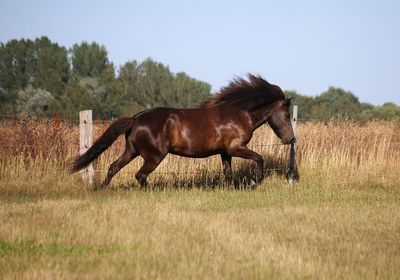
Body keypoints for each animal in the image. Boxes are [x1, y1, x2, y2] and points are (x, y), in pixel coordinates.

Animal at [70, 74, 296, 188]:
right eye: (286, 114)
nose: (290, 139)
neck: (240, 114)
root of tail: (136, 118)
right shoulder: (236, 148)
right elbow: (259, 158)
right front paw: (256, 181)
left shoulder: (225, 152)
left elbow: (228, 174)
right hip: (154, 156)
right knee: (140, 175)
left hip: (131, 151)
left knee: (113, 168)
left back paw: (102, 189)